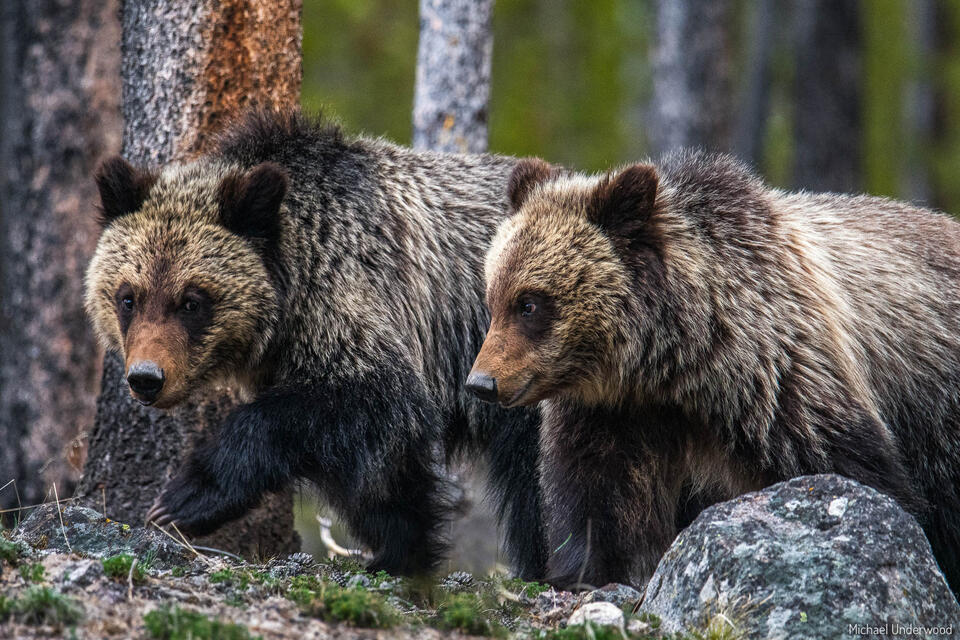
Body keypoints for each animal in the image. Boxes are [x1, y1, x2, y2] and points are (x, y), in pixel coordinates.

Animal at [84, 108, 547, 579]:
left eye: (192, 300)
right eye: (128, 296)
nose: (146, 377)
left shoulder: (356, 305)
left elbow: (361, 405)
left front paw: (182, 500)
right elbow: (387, 478)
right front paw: (400, 551)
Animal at [466, 150, 960, 591]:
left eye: (529, 303)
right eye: (493, 297)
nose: (481, 383)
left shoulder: (781, 380)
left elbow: (854, 470)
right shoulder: (612, 411)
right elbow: (596, 493)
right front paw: (582, 573)